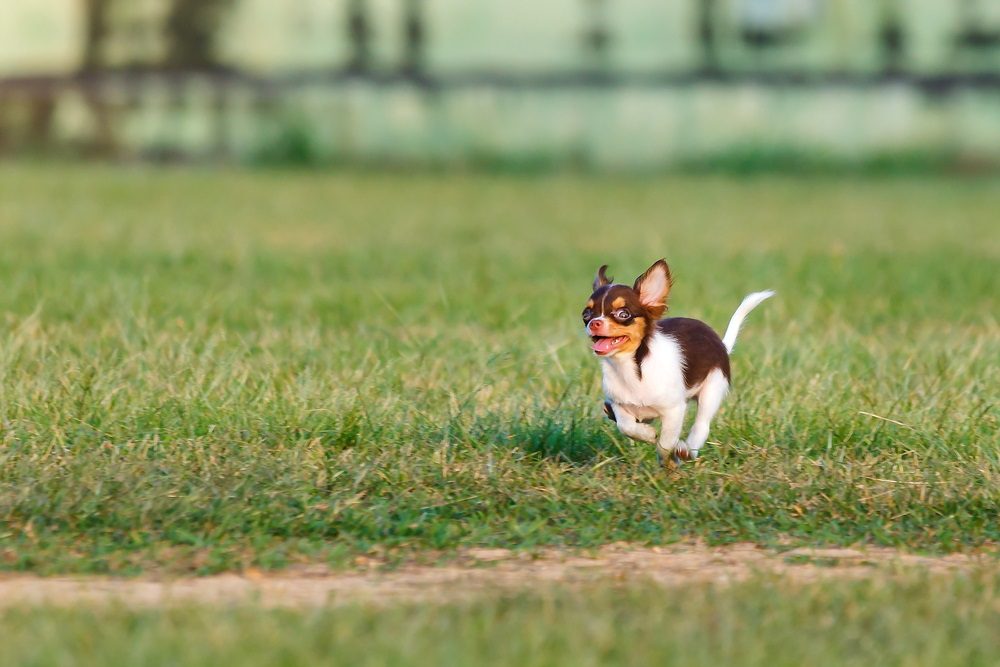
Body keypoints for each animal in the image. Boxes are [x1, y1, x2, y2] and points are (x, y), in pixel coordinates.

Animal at [580, 258, 772, 468]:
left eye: (623, 314)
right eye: (586, 314)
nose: (594, 323)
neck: (630, 368)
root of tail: (721, 344)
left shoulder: (674, 410)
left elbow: (665, 443)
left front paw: (669, 461)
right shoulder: (616, 403)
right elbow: (626, 425)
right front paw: (647, 435)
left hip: (712, 390)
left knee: (701, 425)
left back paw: (687, 451)